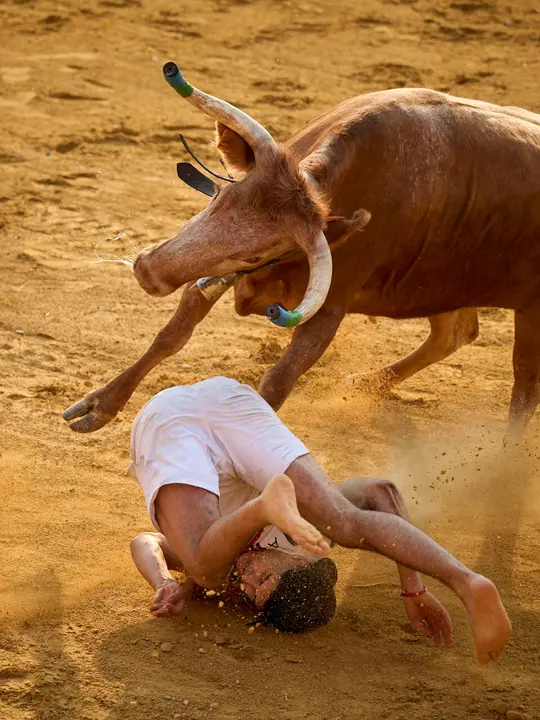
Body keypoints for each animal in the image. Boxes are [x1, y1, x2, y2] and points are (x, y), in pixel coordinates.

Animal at [64, 61, 540, 438]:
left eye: (259, 253)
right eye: (221, 197)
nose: (147, 271)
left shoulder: (329, 304)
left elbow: (277, 381)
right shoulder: (214, 272)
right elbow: (174, 332)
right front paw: (99, 405)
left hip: (526, 312)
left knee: (522, 387)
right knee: (456, 332)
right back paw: (364, 383)